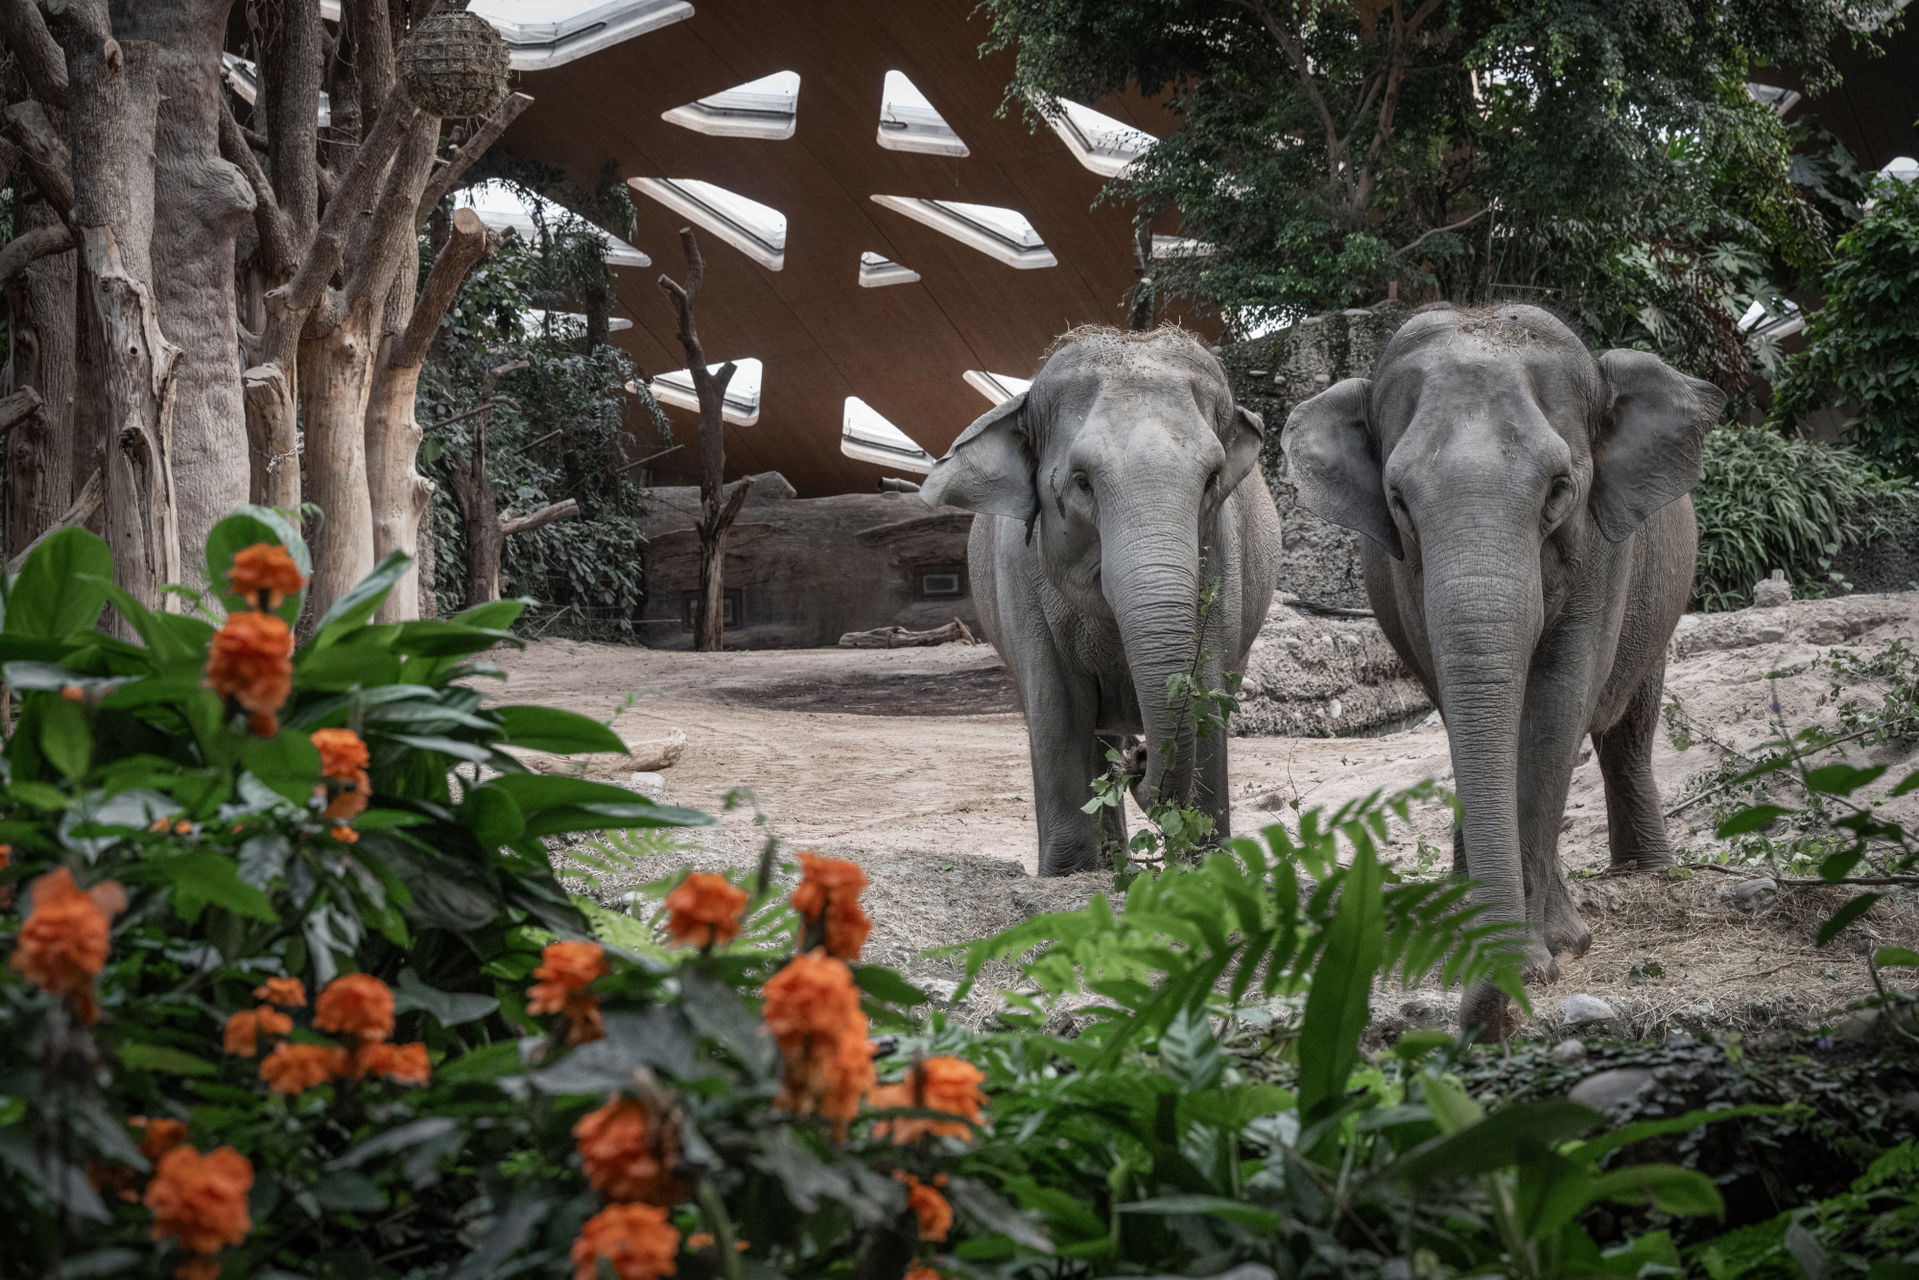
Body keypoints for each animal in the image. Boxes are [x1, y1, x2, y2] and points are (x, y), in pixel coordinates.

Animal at [920, 326, 1282, 875]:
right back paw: (1107, 861)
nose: (1140, 761)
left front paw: (1206, 866)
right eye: (1082, 482)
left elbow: (1206, 691)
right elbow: (1059, 711)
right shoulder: (1019, 576)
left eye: (1211, 480)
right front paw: (1066, 875)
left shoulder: (1224, 558)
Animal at [1282, 303, 1725, 1035]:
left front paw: (1552, 953)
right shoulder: (1404, 576)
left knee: (1627, 725)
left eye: (1560, 488)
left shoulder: (1603, 552)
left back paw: (1651, 873)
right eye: (1397, 499)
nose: (1490, 1015)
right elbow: (1456, 691)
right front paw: (1486, 943)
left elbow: (1558, 701)